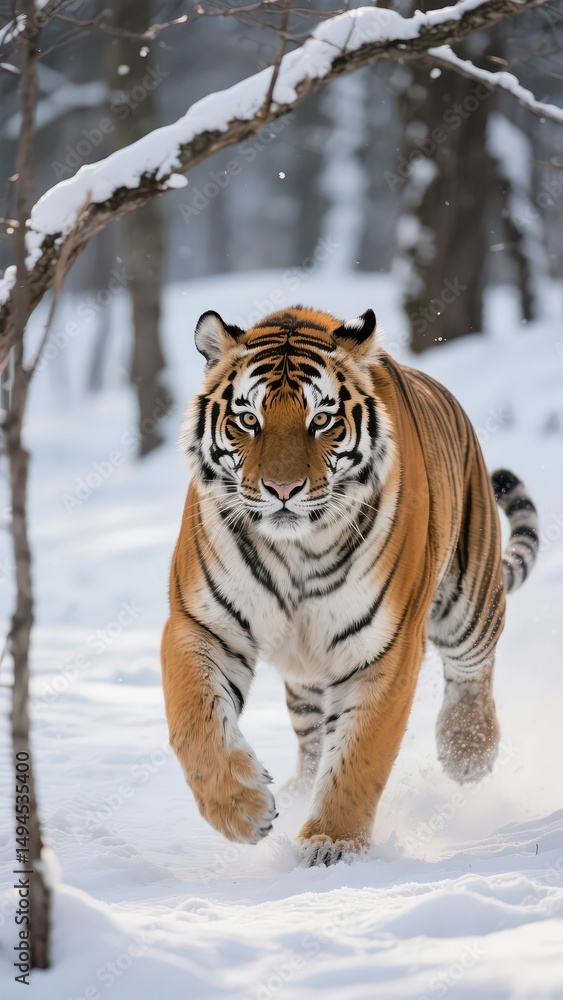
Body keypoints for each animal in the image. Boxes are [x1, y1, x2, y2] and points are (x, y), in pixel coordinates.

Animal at [161, 305, 538, 867]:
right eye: (249, 419)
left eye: (322, 420)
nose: (283, 490)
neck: (295, 551)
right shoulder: (203, 624)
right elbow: (195, 722)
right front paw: (243, 810)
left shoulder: (384, 647)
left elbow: (361, 755)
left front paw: (331, 843)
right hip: (304, 675)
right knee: (313, 736)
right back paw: (298, 789)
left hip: (469, 601)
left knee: (472, 668)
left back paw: (467, 750)